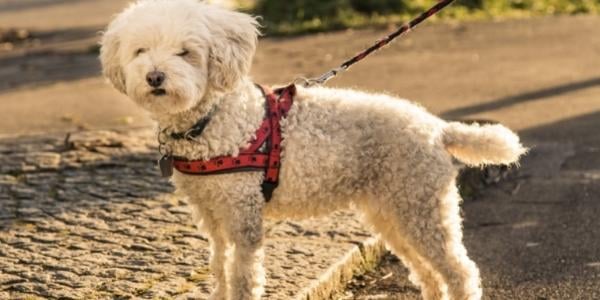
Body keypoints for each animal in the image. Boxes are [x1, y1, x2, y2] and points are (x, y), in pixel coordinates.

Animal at [102, 1, 524, 298]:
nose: (155, 77)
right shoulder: (213, 217)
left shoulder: (242, 216)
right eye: (140, 51)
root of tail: (436, 128)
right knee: (426, 271)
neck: (213, 119)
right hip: (393, 213)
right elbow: (220, 270)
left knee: (460, 272)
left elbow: (242, 277)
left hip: (423, 209)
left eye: (186, 52)